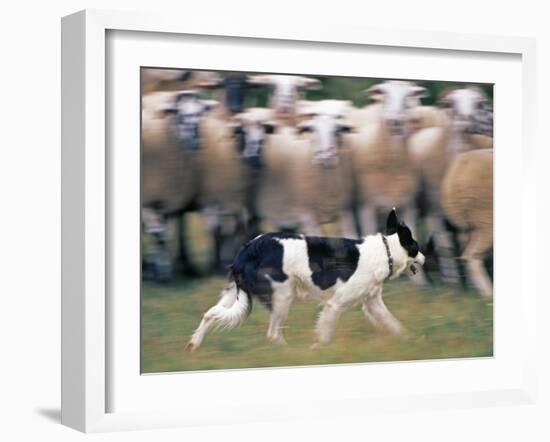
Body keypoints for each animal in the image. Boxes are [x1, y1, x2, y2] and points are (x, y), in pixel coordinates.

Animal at [185, 209, 426, 350]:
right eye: (416, 246)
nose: (424, 258)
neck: (386, 250)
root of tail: (247, 250)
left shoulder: (372, 302)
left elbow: (393, 323)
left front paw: (409, 339)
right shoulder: (335, 304)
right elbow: (325, 334)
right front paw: (317, 351)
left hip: (233, 294)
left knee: (210, 314)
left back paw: (194, 344)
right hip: (283, 296)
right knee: (273, 334)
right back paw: (288, 354)